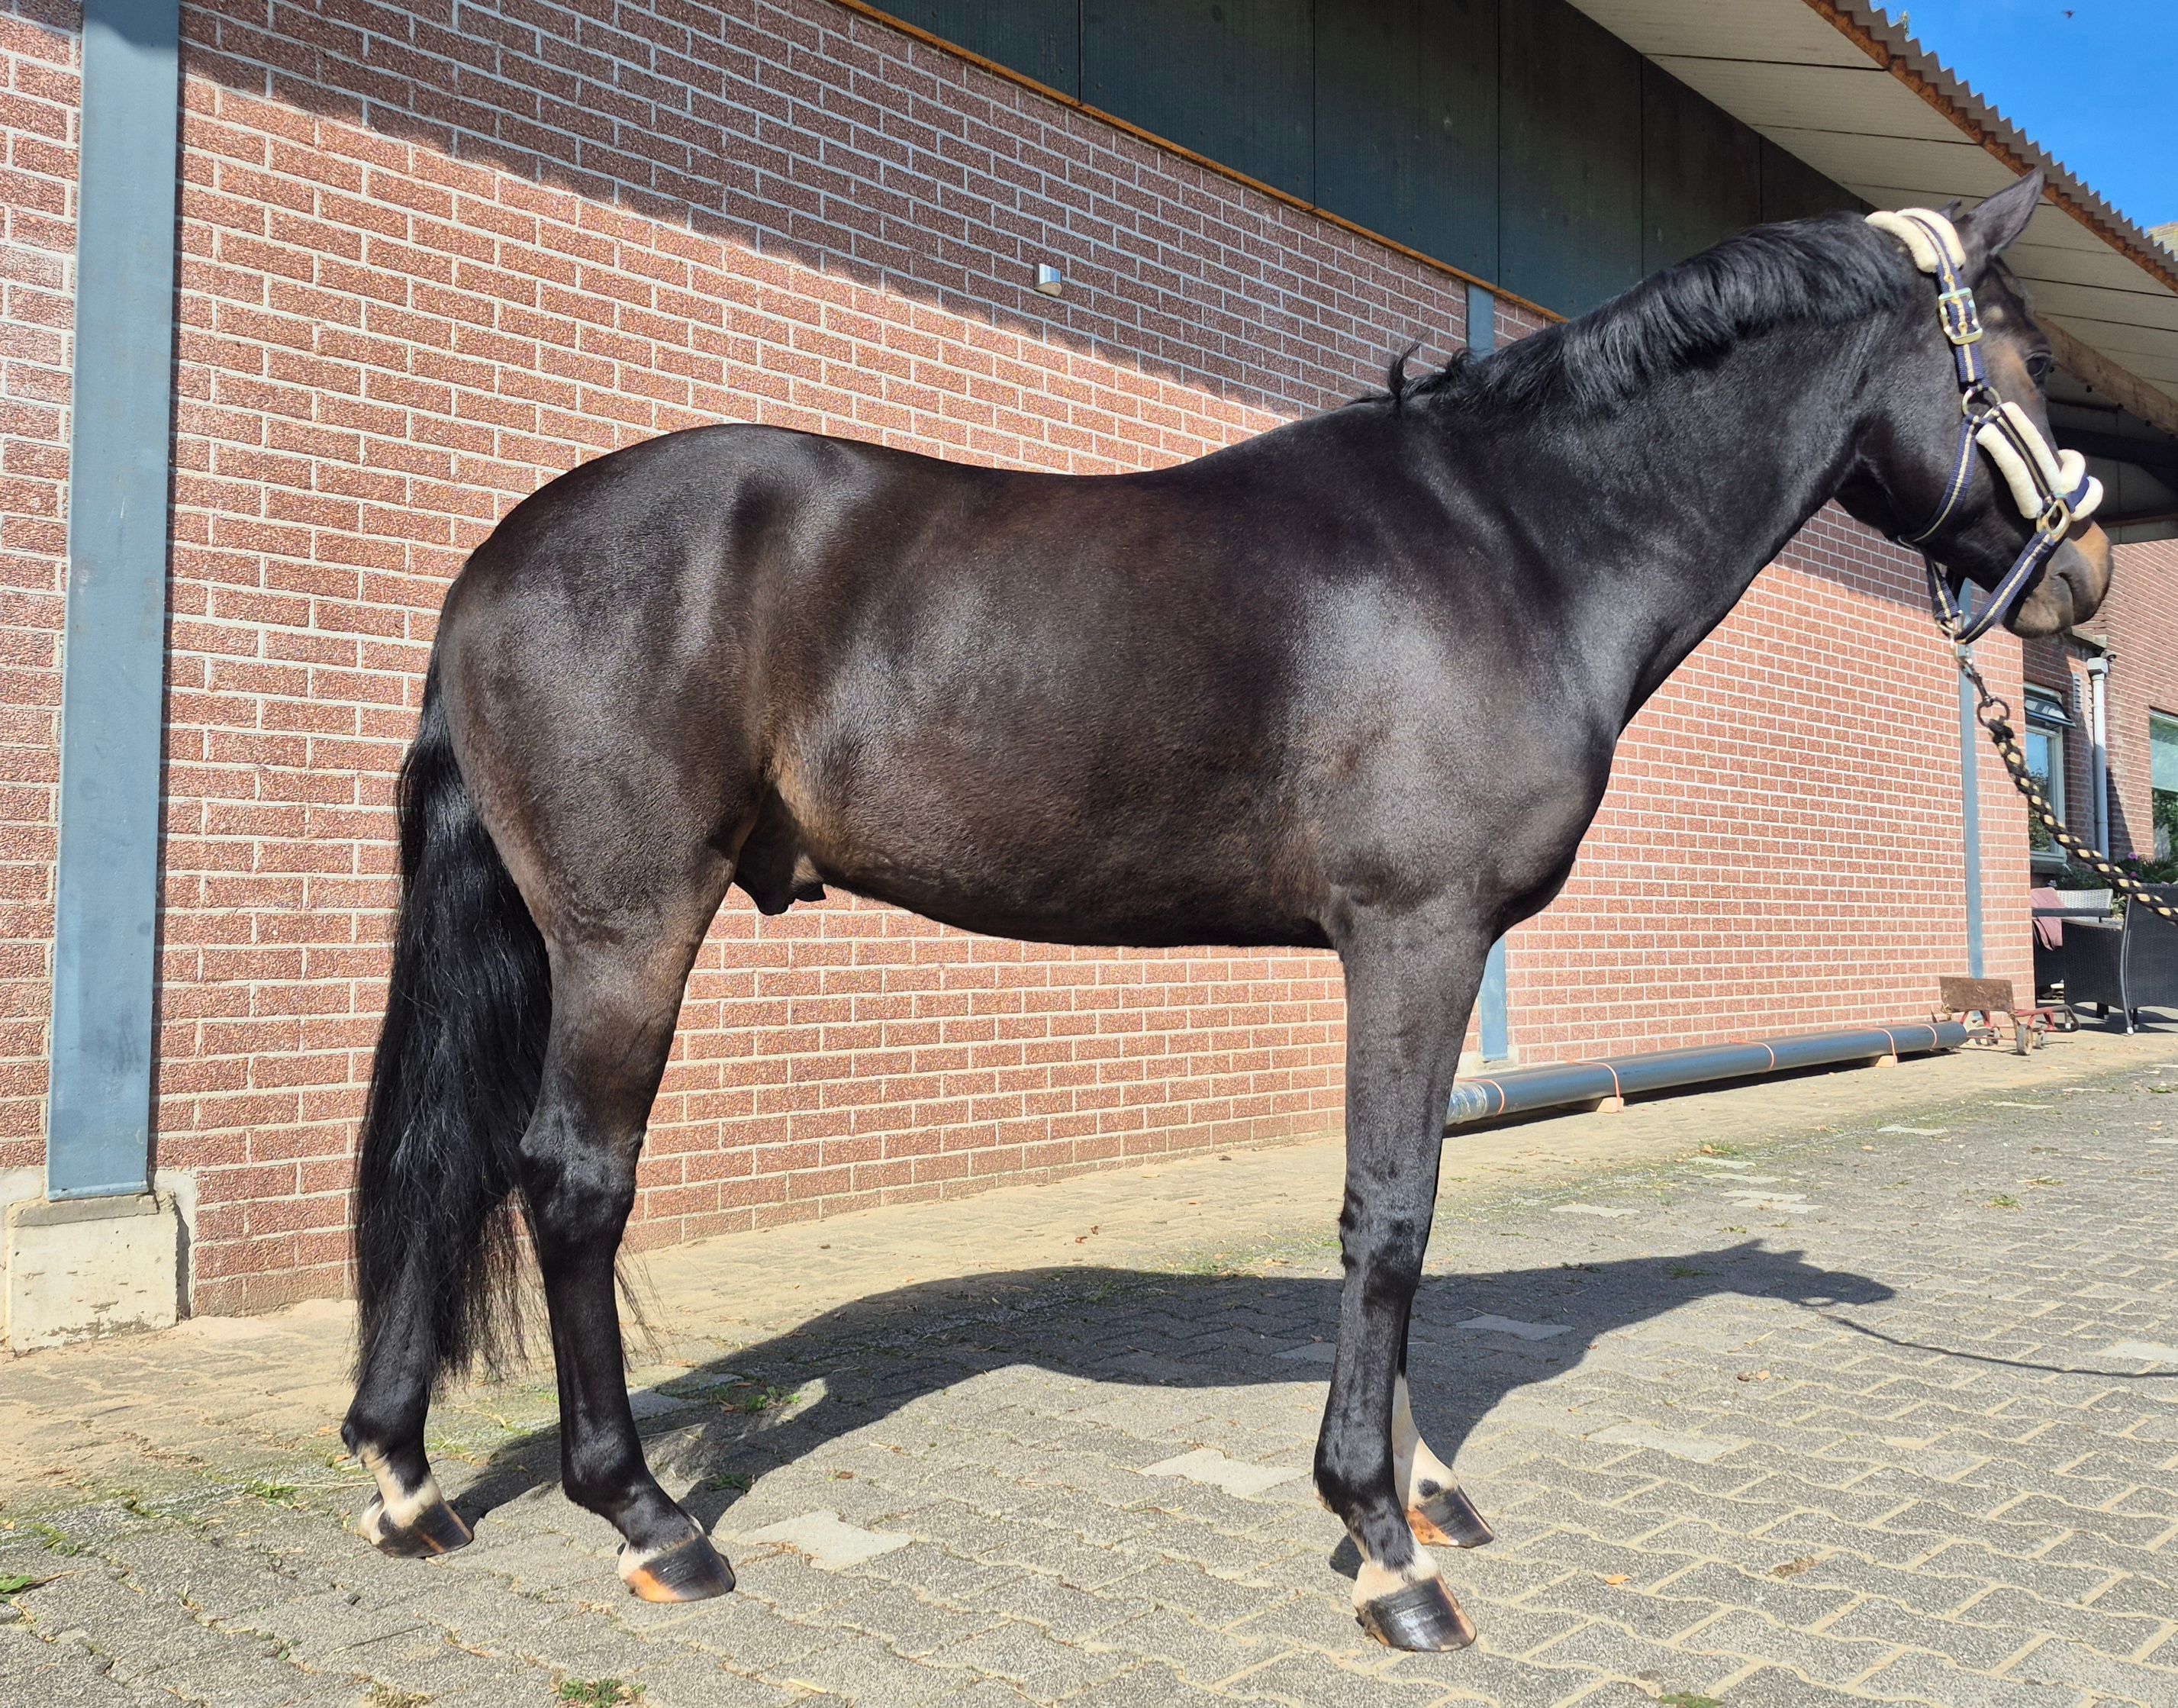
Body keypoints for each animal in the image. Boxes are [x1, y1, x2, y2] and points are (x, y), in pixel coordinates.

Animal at [341, 168, 2110, 1651]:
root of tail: (492, 566)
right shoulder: (1413, 931)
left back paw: (406, 1476)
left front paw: (1411, 1491)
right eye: (2016, 355)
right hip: (626, 931)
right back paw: (647, 1515)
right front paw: (1381, 1545)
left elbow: (1394, 1205)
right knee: (572, 1183)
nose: (2086, 578)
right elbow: (1389, 1214)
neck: (1511, 544)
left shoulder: (1413, 952)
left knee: (447, 1157)